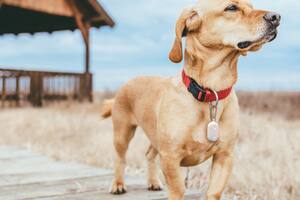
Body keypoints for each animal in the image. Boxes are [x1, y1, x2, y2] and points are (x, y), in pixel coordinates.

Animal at [102, 0, 280, 200]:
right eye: (231, 8)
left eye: (252, 6)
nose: (276, 17)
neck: (211, 92)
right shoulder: (170, 157)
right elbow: (178, 190)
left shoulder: (224, 156)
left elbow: (213, 192)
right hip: (122, 133)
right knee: (120, 158)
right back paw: (118, 184)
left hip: (155, 136)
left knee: (149, 154)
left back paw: (153, 181)